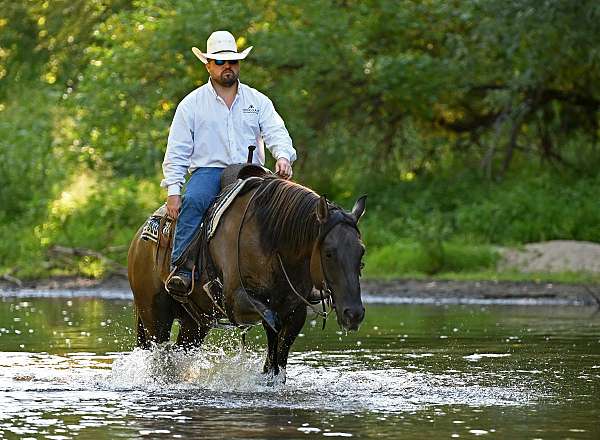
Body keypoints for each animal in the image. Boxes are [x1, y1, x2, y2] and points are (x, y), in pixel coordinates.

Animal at [127, 176, 366, 378]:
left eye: (361, 252)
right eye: (329, 253)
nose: (353, 313)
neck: (270, 241)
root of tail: (140, 236)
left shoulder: (294, 311)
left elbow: (277, 356)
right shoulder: (237, 303)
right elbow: (271, 325)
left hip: (195, 322)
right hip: (154, 316)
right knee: (161, 357)